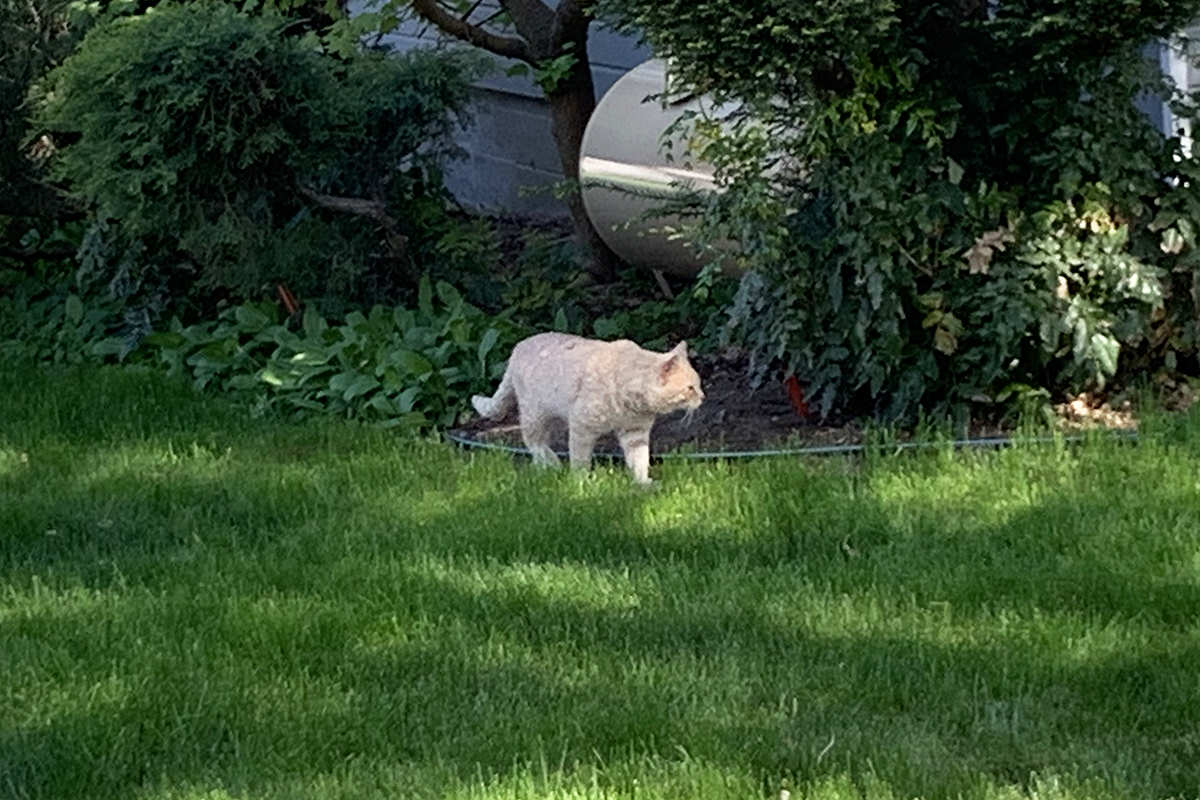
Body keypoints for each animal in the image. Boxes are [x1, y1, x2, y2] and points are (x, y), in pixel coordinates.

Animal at [470, 333, 700, 484]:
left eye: (698, 385)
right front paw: (580, 482)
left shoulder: (635, 433)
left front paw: (643, 483)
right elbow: (580, 458)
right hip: (534, 415)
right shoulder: (582, 427)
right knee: (535, 443)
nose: (703, 397)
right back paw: (551, 463)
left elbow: (640, 459)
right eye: (690, 388)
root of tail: (517, 348)